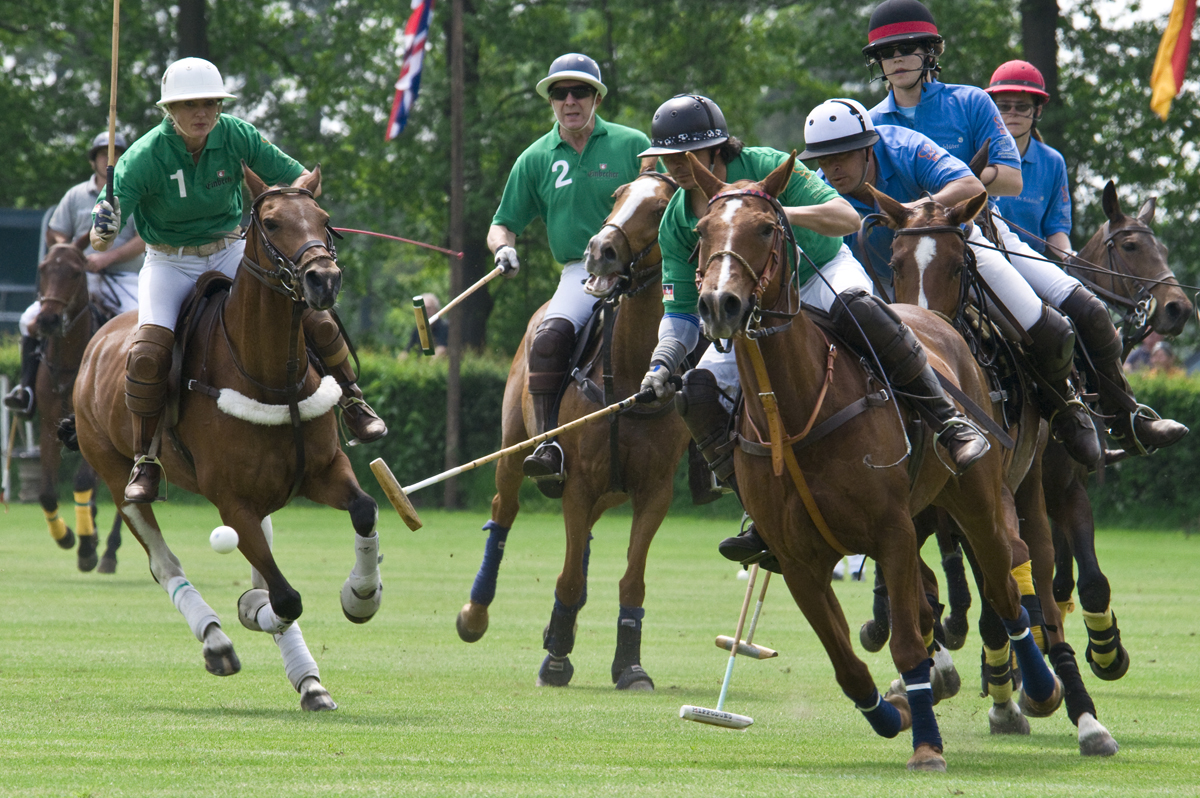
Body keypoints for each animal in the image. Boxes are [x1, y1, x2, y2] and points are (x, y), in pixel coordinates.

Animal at [29, 237, 122, 573]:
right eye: (43, 268)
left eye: (75, 271)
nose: (47, 320)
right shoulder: (48, 424)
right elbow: (46, 492)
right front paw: (68, 536)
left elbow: (82, 480)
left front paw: (85, 547)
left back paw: (108, 551)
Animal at [71, 166, 379, 710]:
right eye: (271, 223)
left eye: (323, 218)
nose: (323, 280)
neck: (271, 374)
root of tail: (99, 339)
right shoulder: (232, 501)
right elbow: (285, 598)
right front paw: (253, 610)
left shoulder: (322, 470)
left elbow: (364, 509)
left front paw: (360, 597)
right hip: (112, 472)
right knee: (163, 561)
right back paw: (216, 641)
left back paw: (309, 680)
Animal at [453, 169, 691, 691]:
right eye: (618, 196)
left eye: (660, 207)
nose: (600, 249)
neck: (630, 380)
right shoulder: (579, 481)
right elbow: (568, 577)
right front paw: (557, 659)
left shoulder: (654, 492)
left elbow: (631, 580)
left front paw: (630, 666)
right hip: (513, 447)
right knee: (504, 510)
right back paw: (475, 614)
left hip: (610, 490)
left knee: (583, 542)